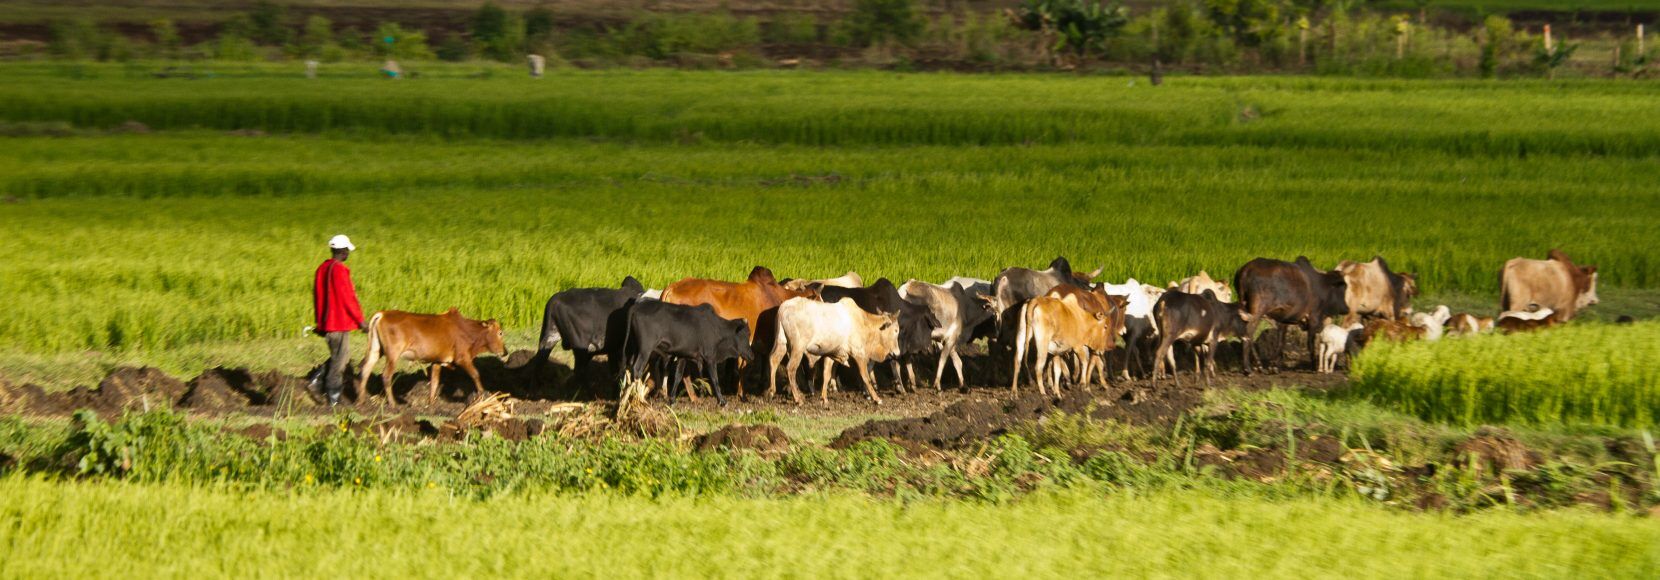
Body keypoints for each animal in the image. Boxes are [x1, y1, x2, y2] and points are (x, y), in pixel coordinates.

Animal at [355, 308, 507, 406]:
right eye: (500, 332)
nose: (505, 352)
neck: (468, 331)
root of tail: (382, 314)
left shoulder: (437, 361)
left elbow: (434, 382)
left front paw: (431, 403)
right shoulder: (462, 358)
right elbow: (475, 374)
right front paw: (483, 395)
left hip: (376, 350)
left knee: (366, 370)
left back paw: (361, 401)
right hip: (393, 354)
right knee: (386, 375)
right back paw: (393, 404)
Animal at [622, 301, 755, 405]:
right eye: (746, 333)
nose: (752, 355)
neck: (716, 328)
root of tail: (636, 307)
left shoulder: (683, 356)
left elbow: (678, 376)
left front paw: (672, 399)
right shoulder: (710, 358)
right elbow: (714, 379)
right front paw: (722, 401)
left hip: (634, 348)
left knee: (629, 368)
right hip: (645, 349)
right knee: (637, 369)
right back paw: (639, 398)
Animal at [768, 297, 900, 405]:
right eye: (896, 330)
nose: (897, 353)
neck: (863, 322)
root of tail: (784, 307)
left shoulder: (831, 354)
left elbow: (826, 375)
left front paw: (824, 399)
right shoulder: (858, 353)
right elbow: (865, 377)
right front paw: (877, 399)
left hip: (782, 342)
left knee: (774, 360)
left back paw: (771, 392)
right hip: (798, 347)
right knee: (791, 368)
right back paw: (797, 398)